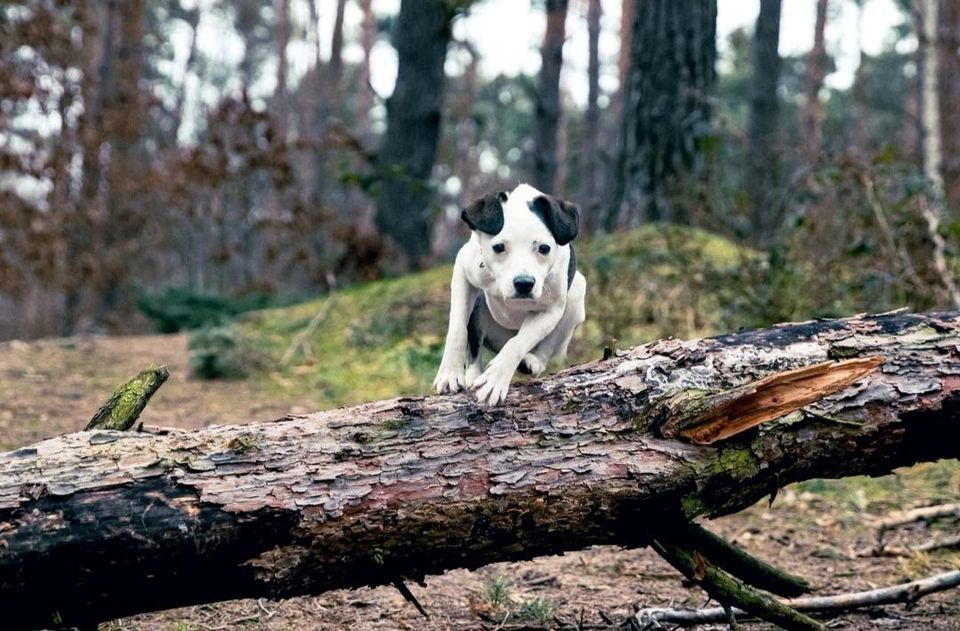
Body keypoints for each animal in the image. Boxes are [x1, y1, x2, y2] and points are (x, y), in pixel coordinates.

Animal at [434, 185, 584, 408]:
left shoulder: (551, 309)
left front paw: (496, 377)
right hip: (480, 308)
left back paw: (532, 361)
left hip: (576, 295)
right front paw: (450, 373)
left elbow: (517, 343)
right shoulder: (463, 272)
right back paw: (473, 374)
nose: (524, 283)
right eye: (499, 247)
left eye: (544, 248)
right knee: (475, 346)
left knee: (544, 348)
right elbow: (457, 329)